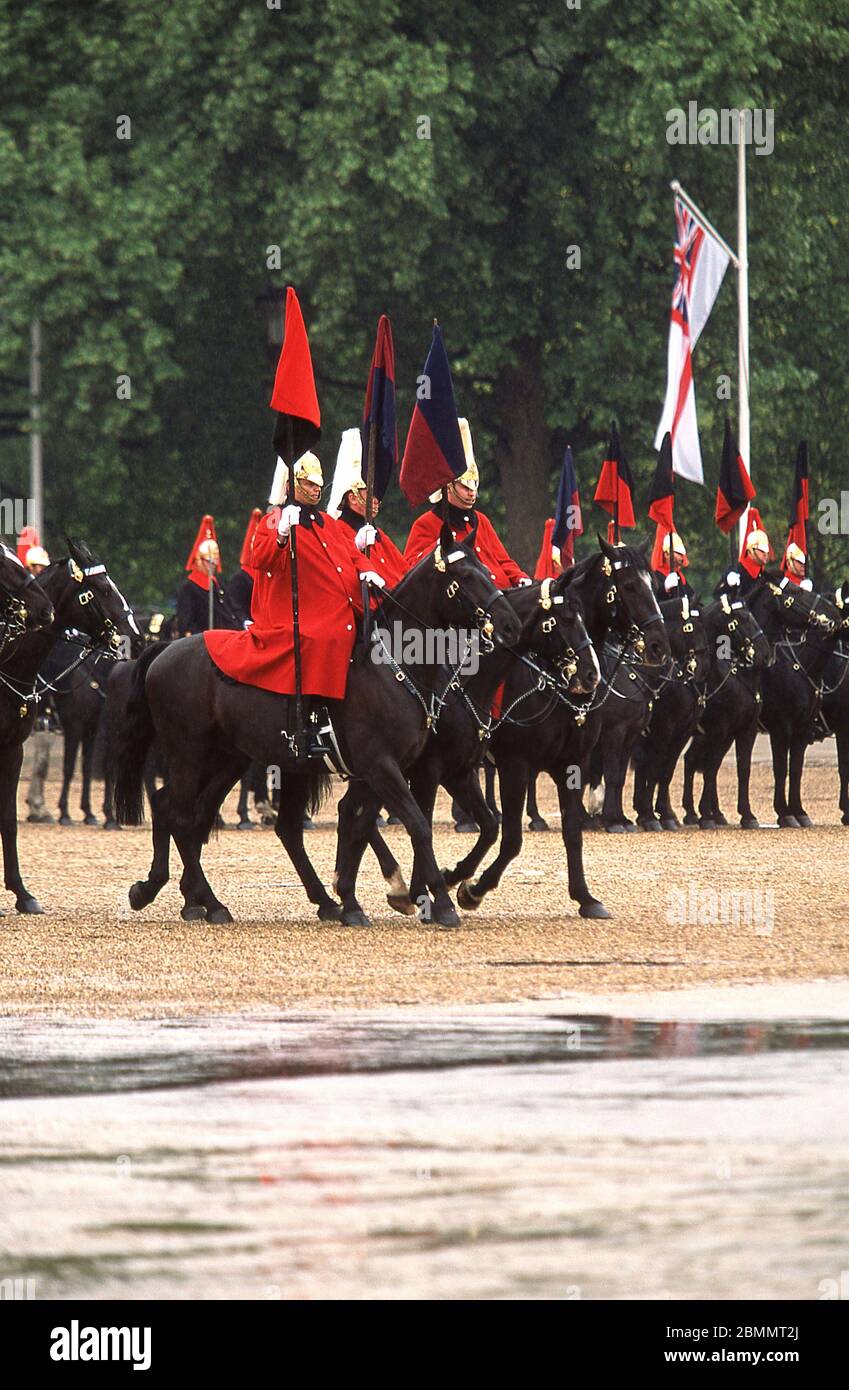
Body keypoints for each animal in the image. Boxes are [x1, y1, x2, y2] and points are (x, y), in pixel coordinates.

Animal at [0, 542, 135, 911]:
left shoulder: (13, 748)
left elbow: (8, 820)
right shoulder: (76, 727)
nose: (135, 635)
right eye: (102, 589)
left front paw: (22, 893)